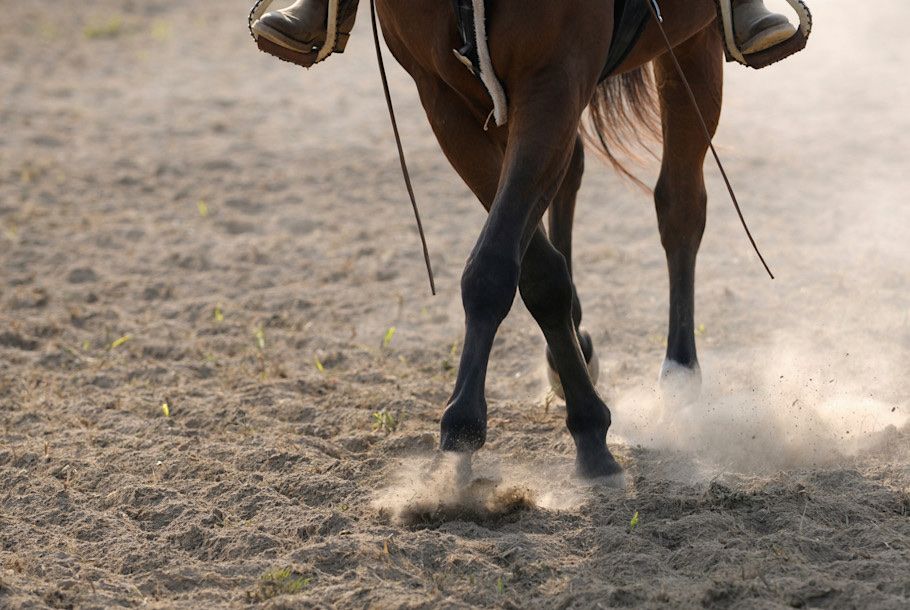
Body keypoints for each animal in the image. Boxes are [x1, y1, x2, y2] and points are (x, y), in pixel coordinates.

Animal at [375, 0, 723, 479]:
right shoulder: (443, 95)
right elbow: (530, 265)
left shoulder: (553, 79)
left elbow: (497, 266)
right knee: (575, 171)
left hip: (692, 42)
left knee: (681, 204)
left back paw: (680, 373)